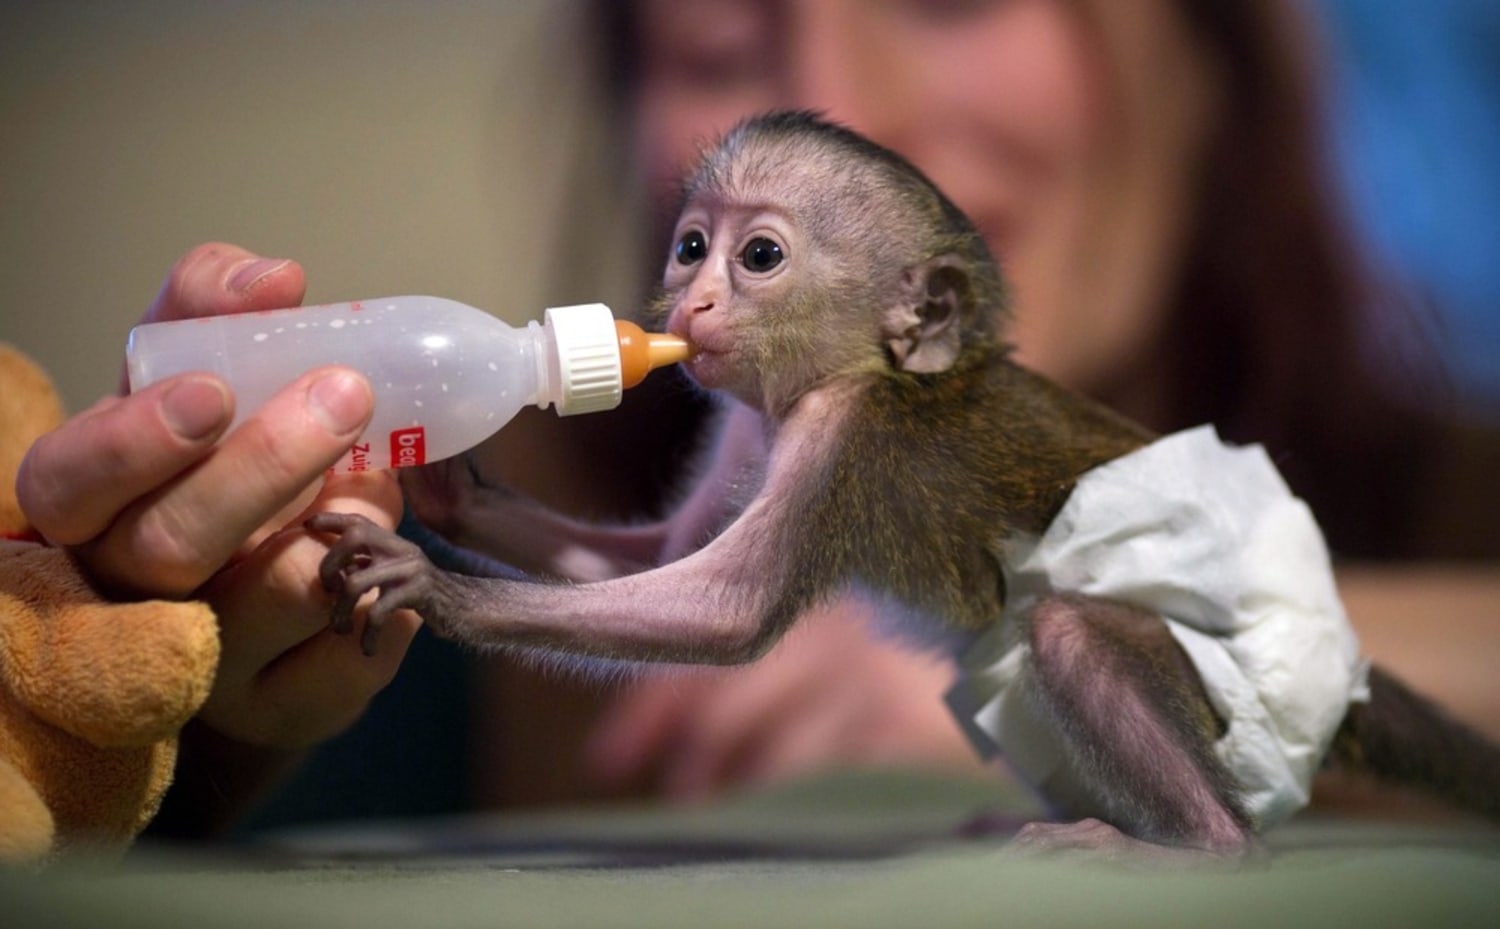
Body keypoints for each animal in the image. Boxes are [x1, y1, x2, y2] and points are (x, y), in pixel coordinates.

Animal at [307, 111, 1500, 858]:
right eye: (691, 245)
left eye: (759, 257)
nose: (692, 304)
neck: (857, 369)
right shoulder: (750, 416)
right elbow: (655, 557)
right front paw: (446, 486)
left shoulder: (851, 440)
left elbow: (723, 611)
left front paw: (434, 584)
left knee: (1069, 633)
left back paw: (1201, 847)